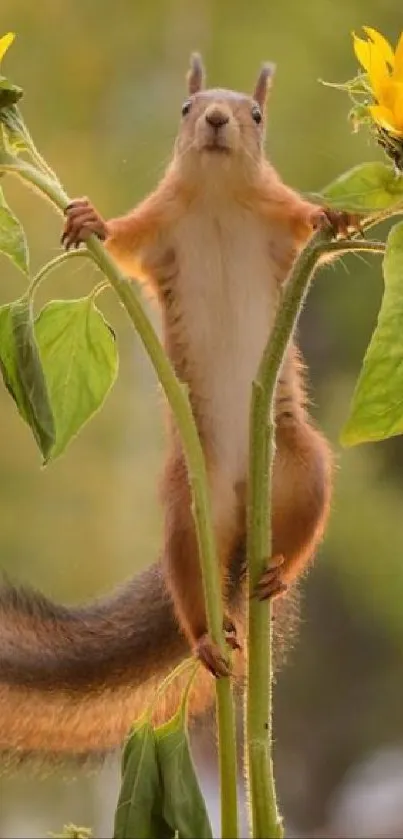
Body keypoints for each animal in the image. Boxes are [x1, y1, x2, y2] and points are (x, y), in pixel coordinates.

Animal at [0, 52, 352, 760]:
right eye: (186, 108)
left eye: (256, 113)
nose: (215, 119)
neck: (216, 195)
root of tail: (244, 515)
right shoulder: (158, 228)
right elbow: (122, 242)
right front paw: (89, 221)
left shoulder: (279, 219)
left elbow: (306, 225)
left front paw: (337, 219)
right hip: (189, 505)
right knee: (191, 578)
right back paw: (205, 637)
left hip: (302, 462)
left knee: (300, 530)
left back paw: (276, 571)